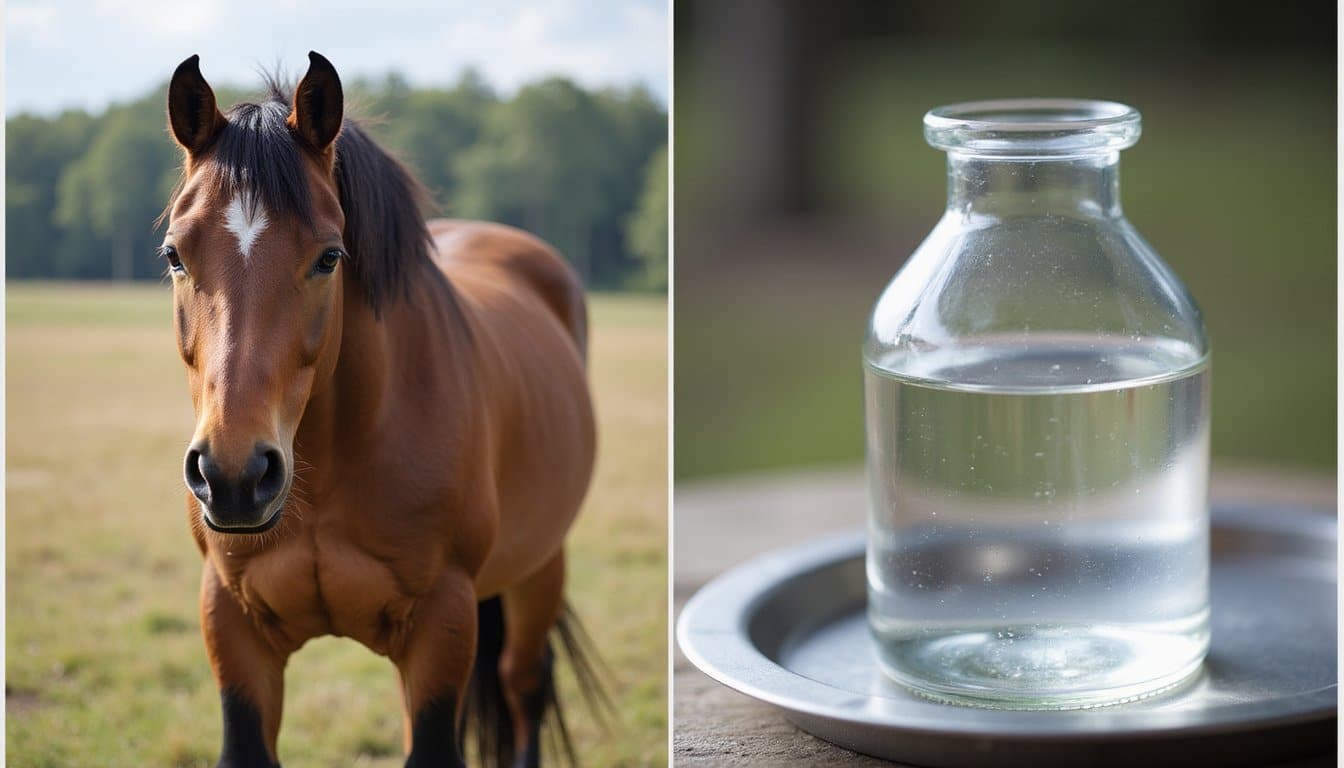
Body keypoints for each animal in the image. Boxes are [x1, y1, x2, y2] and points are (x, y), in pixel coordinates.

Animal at [160, 52, 602, 767]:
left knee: (523, 687)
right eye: (175, 254)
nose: (233, 477)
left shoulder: (443, 624)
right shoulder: (231, 623)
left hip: (540, 569)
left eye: (329, 257)